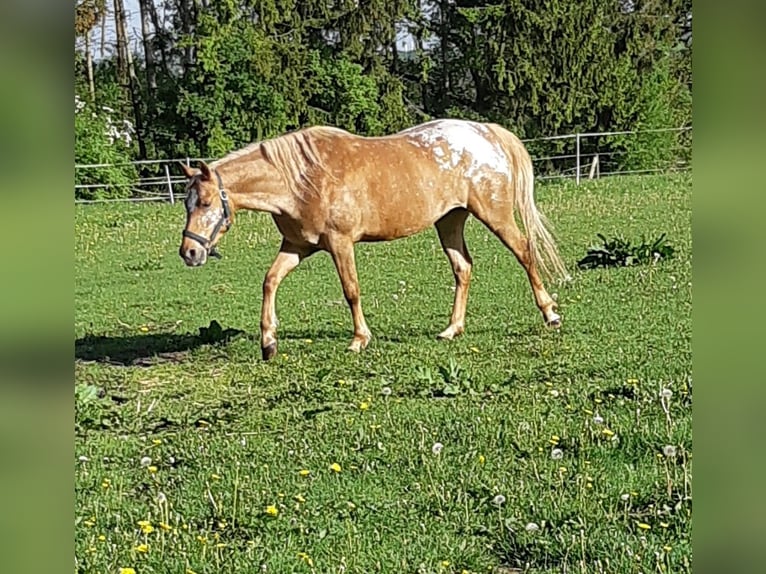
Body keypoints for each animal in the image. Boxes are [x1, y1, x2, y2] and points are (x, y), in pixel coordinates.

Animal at [177, 118, 568, 360]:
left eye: (207, 202)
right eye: (186, 202)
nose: (190, 252)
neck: (302, 179)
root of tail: (485, 132)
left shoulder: (340, 243)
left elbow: (351, 290)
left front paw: (359, 339)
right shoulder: (297, 246)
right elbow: (270, 281)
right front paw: (268, 342)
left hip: (494, 214)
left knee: (524, 251)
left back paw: (550, 314)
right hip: (449, 221)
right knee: (463, 268)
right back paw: (452, 329)